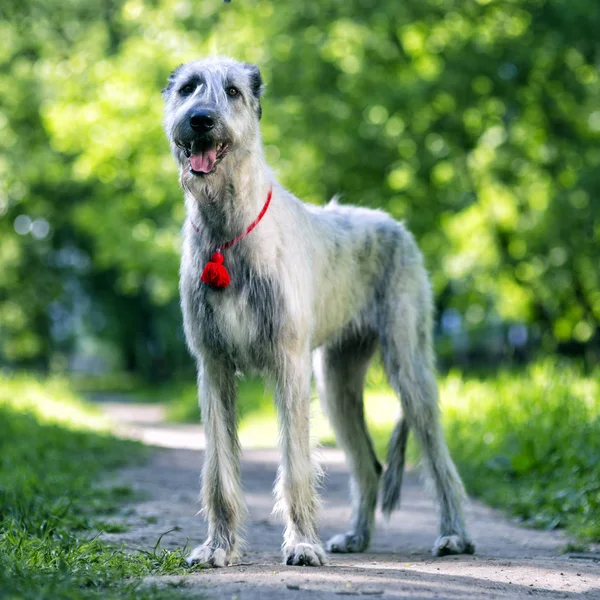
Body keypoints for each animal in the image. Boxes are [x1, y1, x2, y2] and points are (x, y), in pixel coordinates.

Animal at [163, 56, 474, 568]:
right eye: (188, 88)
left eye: (233, 91)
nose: (200, 120)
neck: (228, 230)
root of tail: (394, 223)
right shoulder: (214, 366)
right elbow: (219, 469)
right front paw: (218, 547)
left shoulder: (290, 364)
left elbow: (296, 465)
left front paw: (302, 544)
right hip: (337, 383)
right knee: (368, 466)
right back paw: (357, 536)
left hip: (407, 363)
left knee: (437, 453)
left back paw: (454, 535)